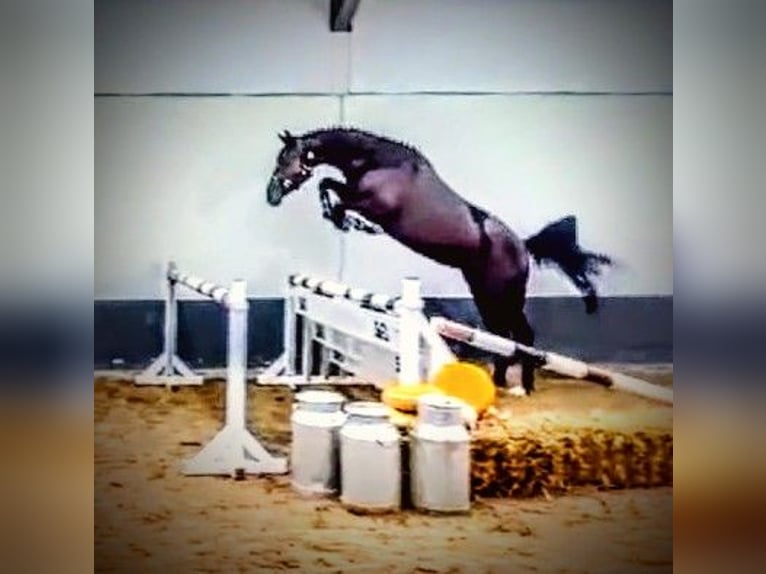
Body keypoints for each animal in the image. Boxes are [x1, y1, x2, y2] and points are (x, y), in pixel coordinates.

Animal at [265, 127, 613, 394]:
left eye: (286, 159)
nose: (271, 195)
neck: (378, 162)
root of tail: (523, 247)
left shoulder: (368, 202)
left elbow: (331, 191)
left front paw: (345, 221)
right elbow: (327, 186)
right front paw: (341, 219)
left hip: (506, 295)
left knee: (523, 337)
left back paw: (523, 387)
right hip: (485, 294)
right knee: (502, 335)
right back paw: (500, 381)